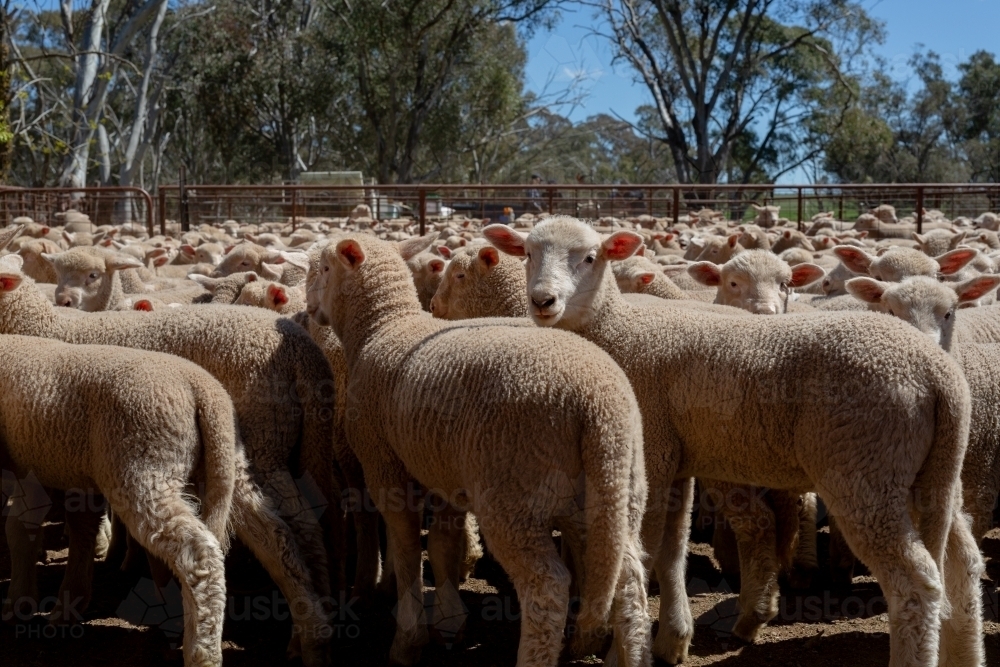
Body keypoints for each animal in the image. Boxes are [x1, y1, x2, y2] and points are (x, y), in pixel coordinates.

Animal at [0, 333, 234, 666]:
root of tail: (203, 388)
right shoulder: (39, 467)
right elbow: (31, 528)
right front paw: (40, 603)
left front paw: (20, 604)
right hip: (205, 474)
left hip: (142, 470)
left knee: (198, 552)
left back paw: (201, 653)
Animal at [311, 233, 651, 667]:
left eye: (322, 268)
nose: (308, 308)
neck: (381, 329)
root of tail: (597, 404)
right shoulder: (442, 469)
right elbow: (441, 545)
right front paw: (449, 621)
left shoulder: (383, 464)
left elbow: (406, 548)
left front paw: (408, 641)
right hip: (617, 489)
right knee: (628, 579)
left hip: (513, 496)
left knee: (547, 587)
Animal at [483, 216, 983, 667]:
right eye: (527, 254)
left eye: (590, 257)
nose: (542, 300)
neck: (616, 332)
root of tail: (938, 373)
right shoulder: (676, 458)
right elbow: (671, 550)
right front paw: (671, 640)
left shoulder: (651, 454)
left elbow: (644, 551)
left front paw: (621, 652)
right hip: (929, 475)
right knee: (961, 564)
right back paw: (964, 653)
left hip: (865, 472)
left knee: (916, 583)